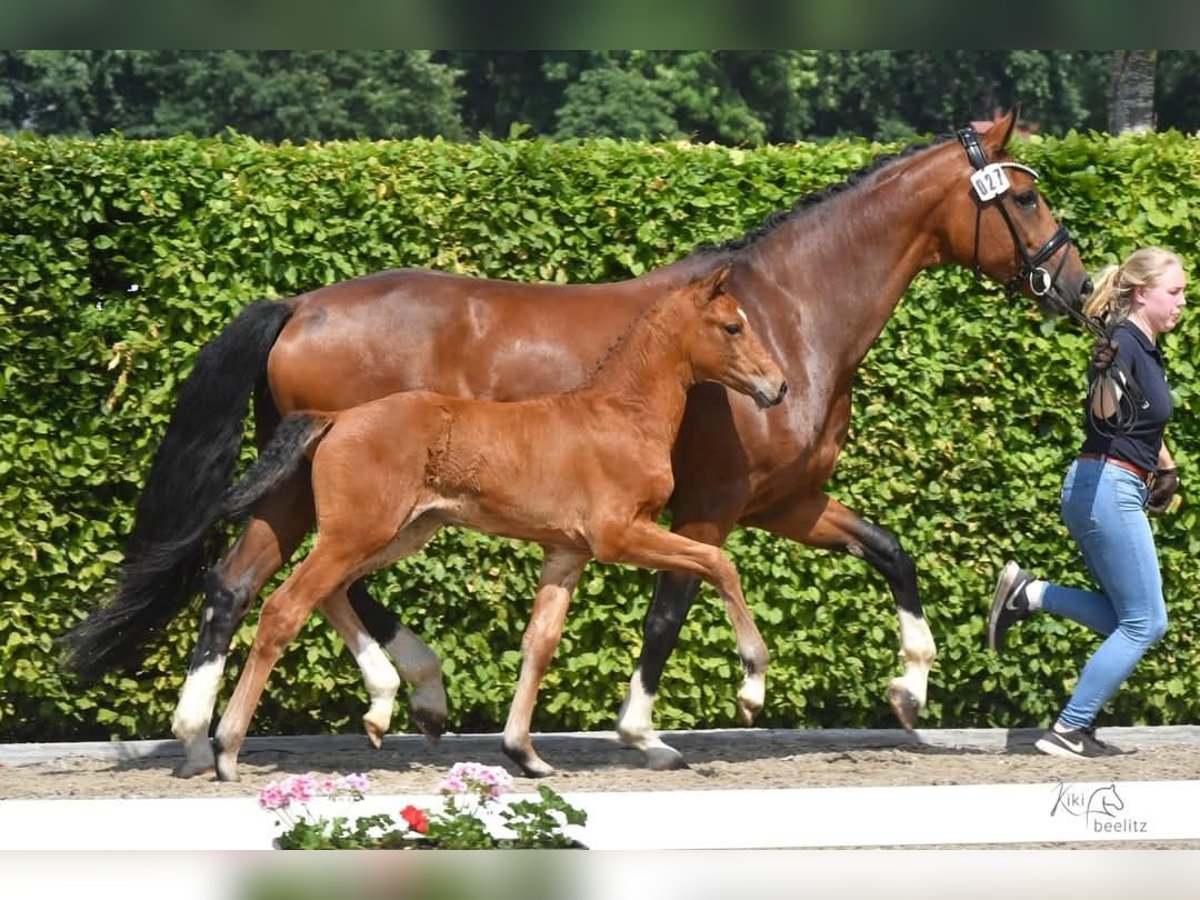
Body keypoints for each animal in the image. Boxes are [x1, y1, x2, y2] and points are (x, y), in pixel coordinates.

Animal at [211, 266, 787, 782]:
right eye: (732, 327)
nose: (778, 386)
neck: (621, 415)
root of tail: (336, 420)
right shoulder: (619, 535)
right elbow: (718, 562)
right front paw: (752, 687)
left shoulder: (568, 551)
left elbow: (540, 643)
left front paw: (525, 755)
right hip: (357, 533)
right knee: (285, 607)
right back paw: (226, 749)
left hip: (397, 532)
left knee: (332, 593)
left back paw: (382, 709)